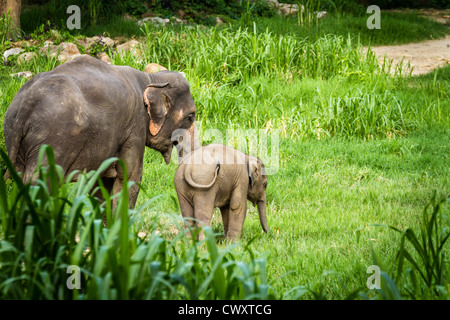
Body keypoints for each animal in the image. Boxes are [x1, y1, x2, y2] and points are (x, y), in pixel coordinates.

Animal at [3, 54, 197, 210]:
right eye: (191, 117)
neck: (150, 79)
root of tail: (26, 103)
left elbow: (102, 183)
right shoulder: (135, 127)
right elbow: (130, 176)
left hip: (14, 133)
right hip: (53, 139)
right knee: (41, 182)